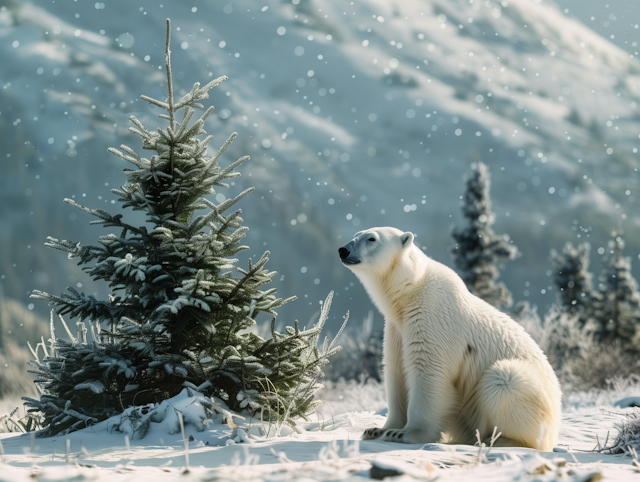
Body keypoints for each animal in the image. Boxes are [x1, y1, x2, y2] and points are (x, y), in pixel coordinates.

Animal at [340, 228, 560, 450]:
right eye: (356, 234)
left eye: (371, 238)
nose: (343, 250)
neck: (411, 290)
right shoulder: (396, 328)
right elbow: (396, 370)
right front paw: (377, 430)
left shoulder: (431, 316)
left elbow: (427, 370)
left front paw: (405, 434)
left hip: (528, 397)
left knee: (504, 380)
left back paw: (500, 440)